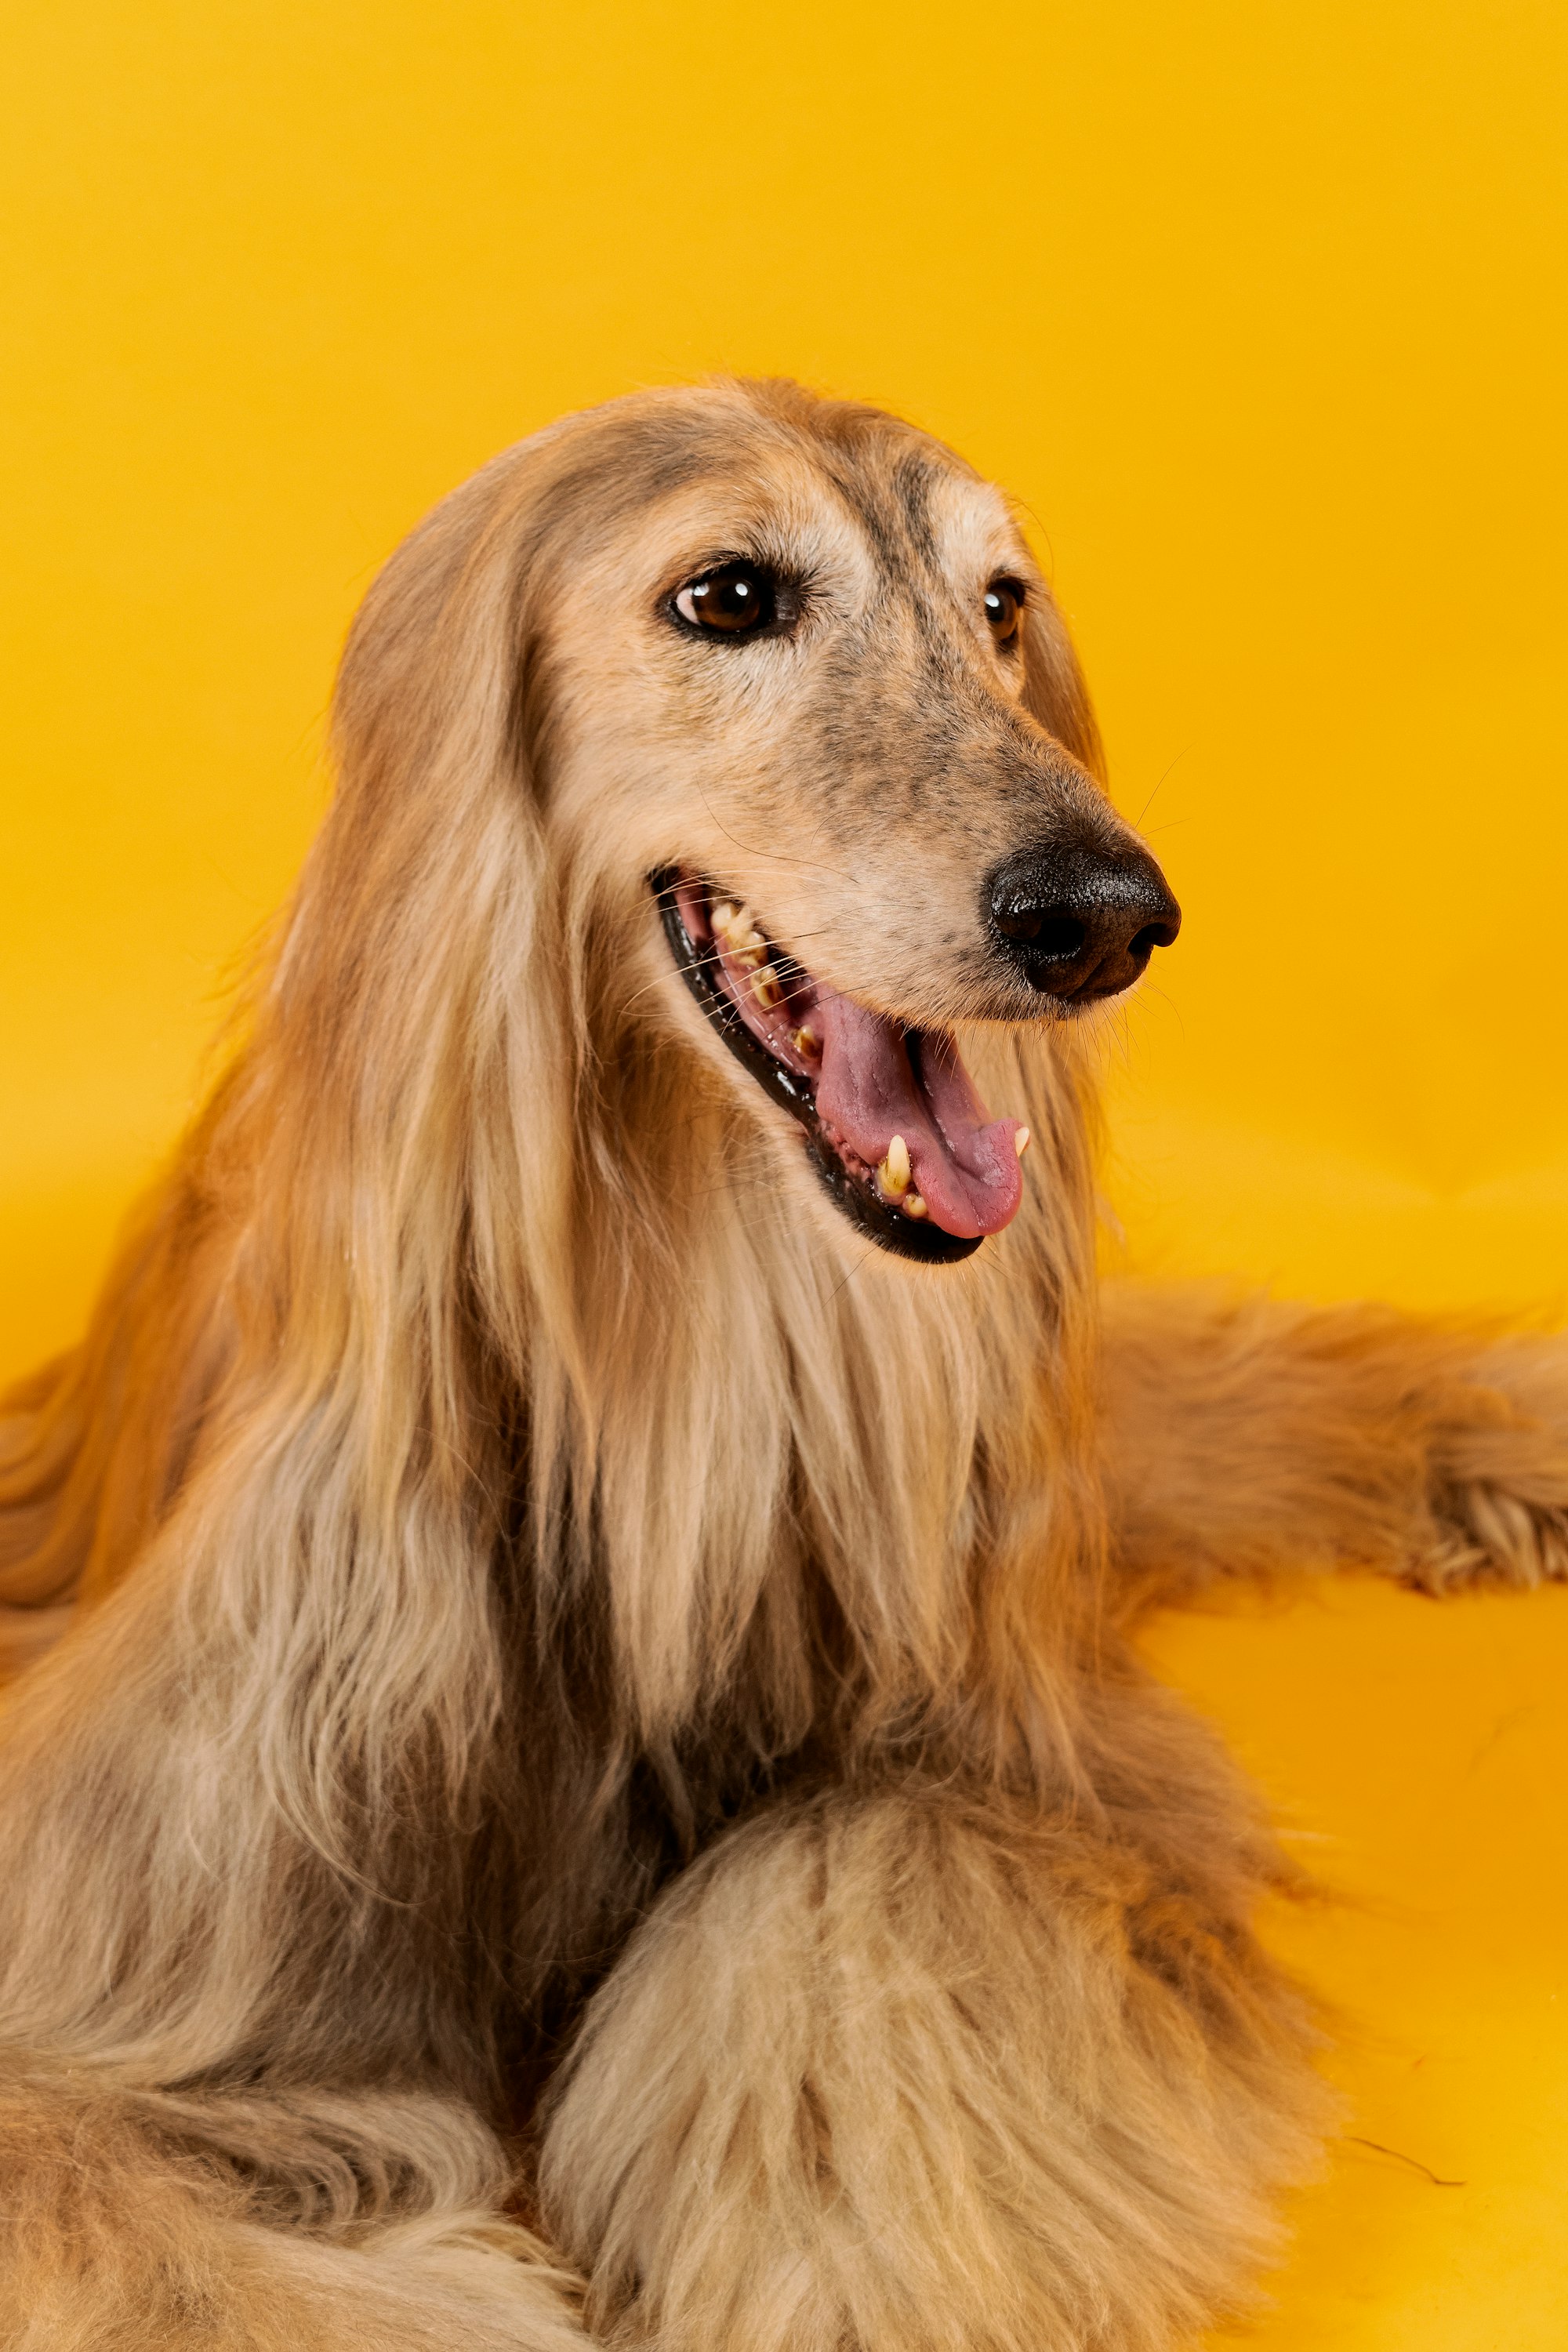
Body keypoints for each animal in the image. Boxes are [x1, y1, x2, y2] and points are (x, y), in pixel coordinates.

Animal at [2, 376, 1568, 2343]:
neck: (699, 1316)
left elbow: (864, 1894)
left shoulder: (995, 1715)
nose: (1103, 916)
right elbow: (115, 2187)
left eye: (999, 605)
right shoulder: (173, 1877)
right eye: (729, 596)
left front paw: (831, 2273)